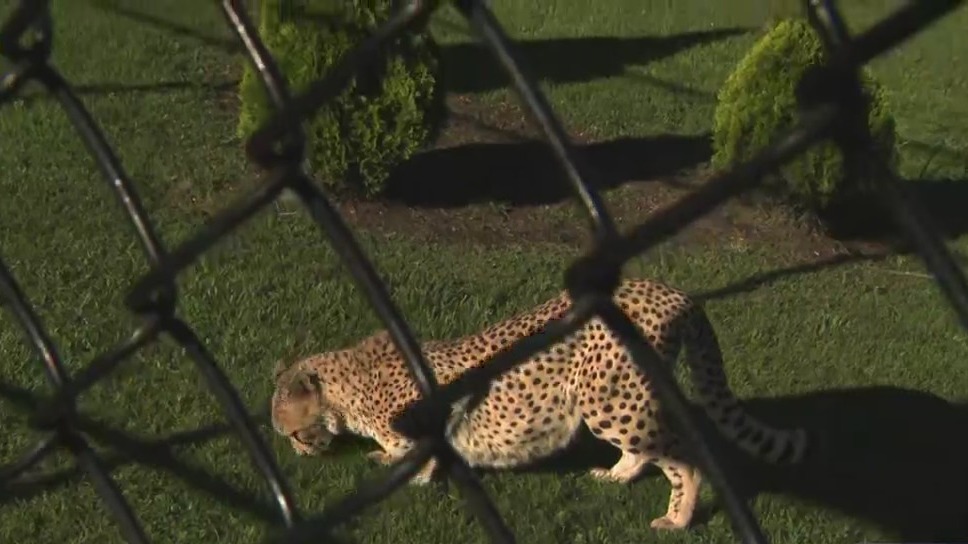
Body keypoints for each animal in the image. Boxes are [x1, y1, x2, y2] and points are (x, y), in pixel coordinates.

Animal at [270, 277, 809, 530]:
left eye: (294, 432)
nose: (299, 453)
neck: (347, 382)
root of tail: (671, 292)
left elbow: (415, 461)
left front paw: (399, 471)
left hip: (609, 399)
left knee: (685, 460)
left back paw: (677, 519)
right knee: (645, 450)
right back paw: (617, 475)